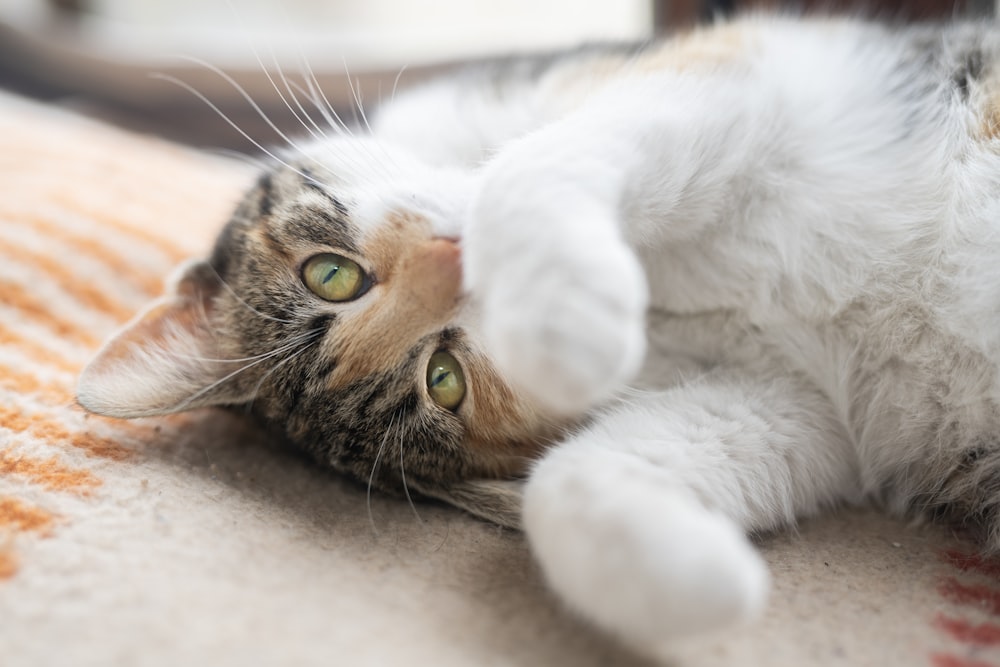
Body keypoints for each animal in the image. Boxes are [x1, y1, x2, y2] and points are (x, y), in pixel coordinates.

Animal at [74, 14, 1000, 664]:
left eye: (329, 275)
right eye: (444, 378)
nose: (460, 264)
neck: (661, 298)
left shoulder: (746, 74)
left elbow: (532, 161)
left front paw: (562, 305)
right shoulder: (794, 400)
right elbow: (580, 479)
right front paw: (714, 584)